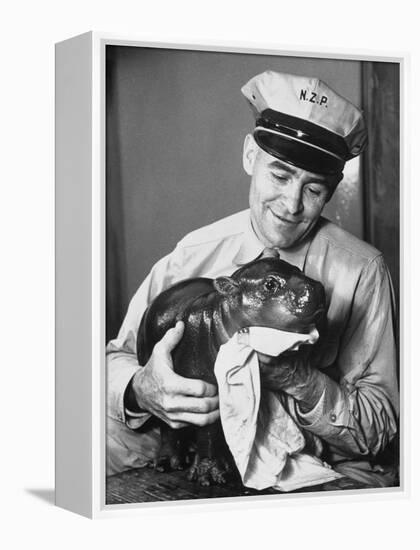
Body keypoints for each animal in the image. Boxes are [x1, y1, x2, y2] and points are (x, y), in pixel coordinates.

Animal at [136, 258, 326, 488]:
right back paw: (168, 463)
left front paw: (224, 469)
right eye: (270, 284)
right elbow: (208, 430)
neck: (221, 314)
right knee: (168, 425)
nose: (317, 287)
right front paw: (208, 476)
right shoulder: (205, 388)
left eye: (298, 269)